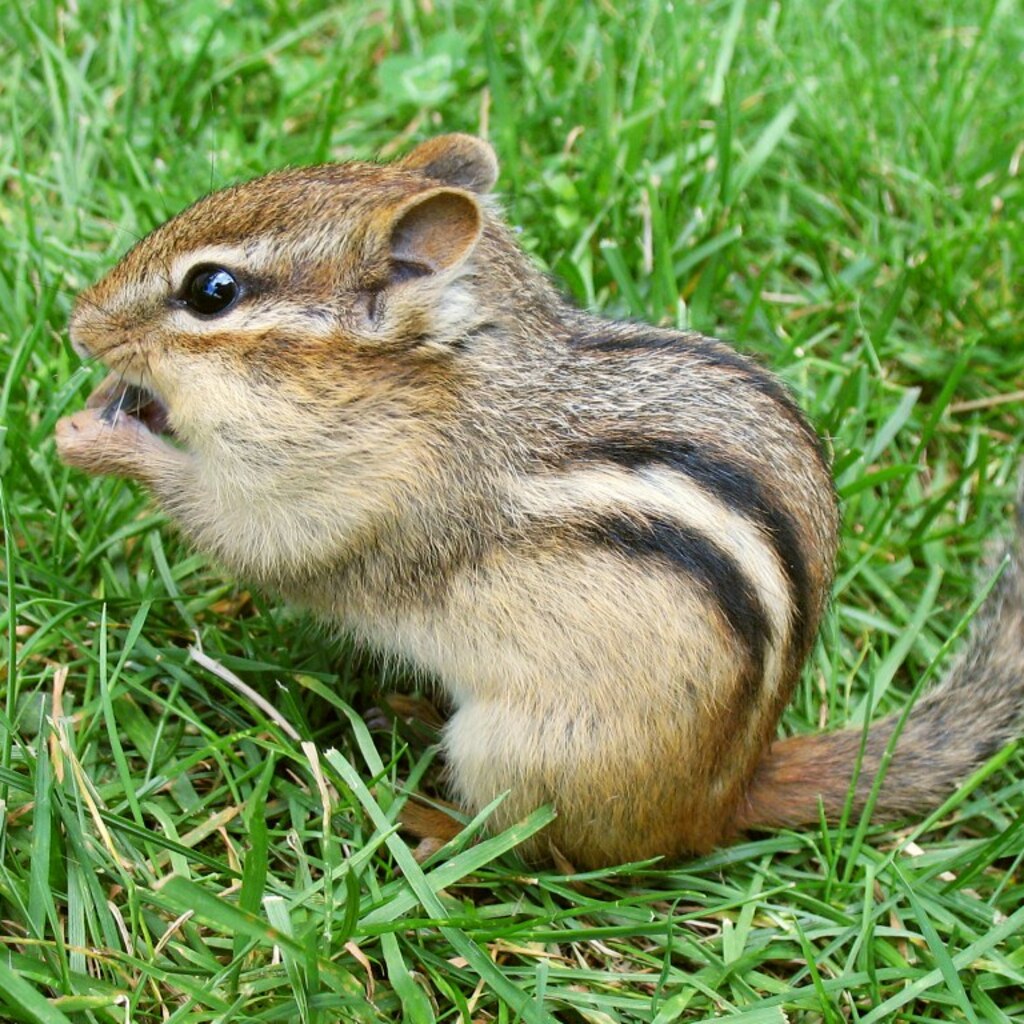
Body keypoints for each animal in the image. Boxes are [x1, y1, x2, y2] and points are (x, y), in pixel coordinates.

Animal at [55, 133, 1024, 869]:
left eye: (210, 292)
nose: (77, 321)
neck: (423, 384)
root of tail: (718, 799)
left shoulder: (348, 504)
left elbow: (248, 540)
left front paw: (96, 439)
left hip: (524, 748)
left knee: (539, 850)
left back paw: (429, 819)